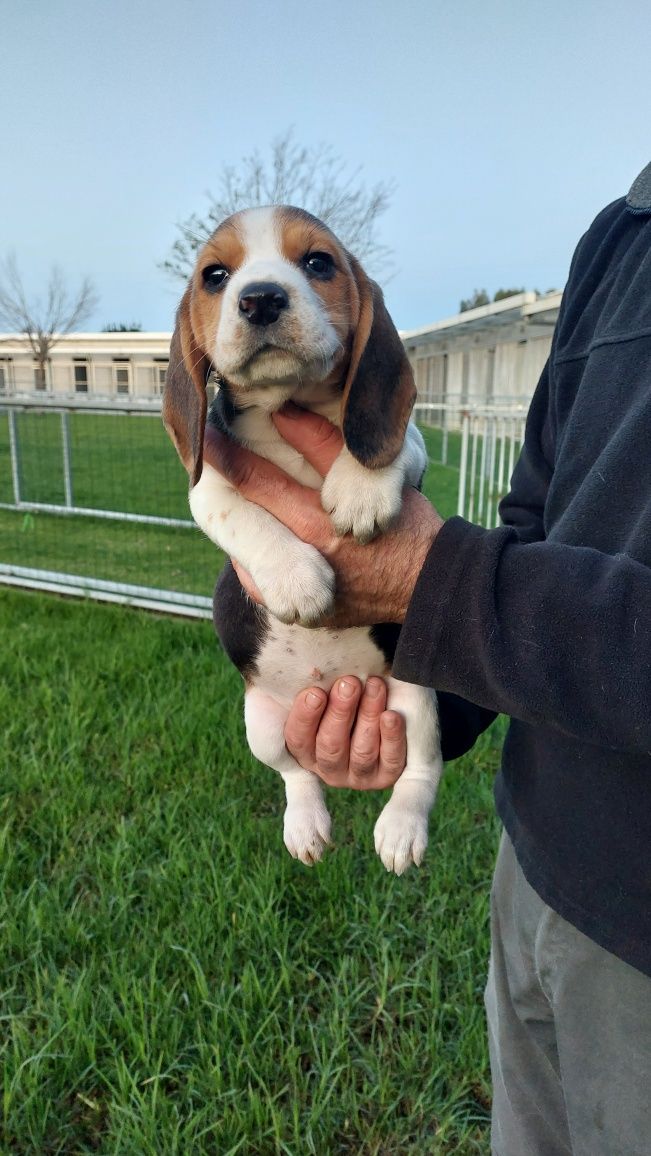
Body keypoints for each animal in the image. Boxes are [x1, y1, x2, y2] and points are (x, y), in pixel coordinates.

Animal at [163, 205, 444, 873]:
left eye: (318, 262)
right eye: (215, 275)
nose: (261, 298)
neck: (286, 405)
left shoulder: (413, 448)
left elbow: (388, 447)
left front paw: (360, 488)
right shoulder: (207, 484)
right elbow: (241, 515)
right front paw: (298, 579)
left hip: (417, 701)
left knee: (422, 771)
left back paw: (401, 830)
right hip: (262, 724)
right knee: (297, 775)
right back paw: (306, 824)